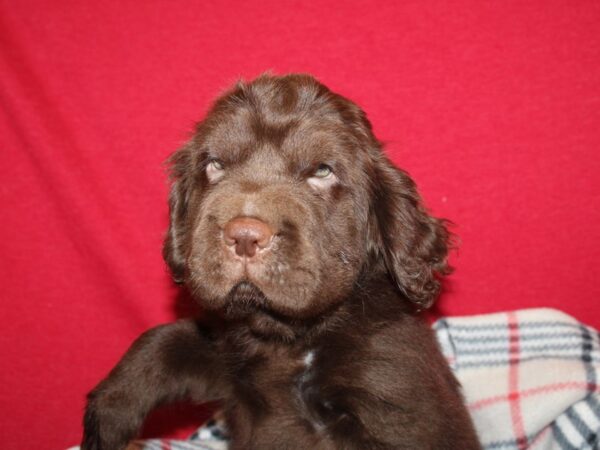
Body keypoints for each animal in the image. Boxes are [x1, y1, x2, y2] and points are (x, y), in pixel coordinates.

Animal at [82, 74, 480, 450]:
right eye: (214, 165)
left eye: (322, 172)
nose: (243, 235)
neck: (289, 339)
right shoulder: (232, 365)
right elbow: (166, 338)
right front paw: (107, 417)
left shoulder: (392, 397)